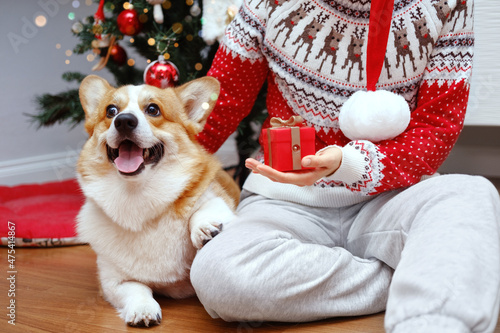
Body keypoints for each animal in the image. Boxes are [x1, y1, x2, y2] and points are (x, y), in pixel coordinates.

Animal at [76, 74, 240, 326]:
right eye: (111, 111)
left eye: (153, 109)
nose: (123, 121)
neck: (139, 195)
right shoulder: (113, 281)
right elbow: (136, 289)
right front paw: (143, 309)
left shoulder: (216, 197)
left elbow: (204, 207)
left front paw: (204, 227)